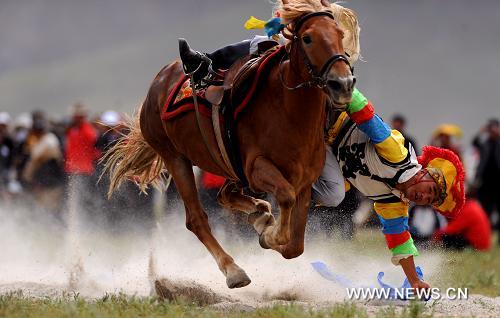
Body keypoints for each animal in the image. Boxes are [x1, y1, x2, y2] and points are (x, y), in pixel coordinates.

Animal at [106, 0, 354, 288]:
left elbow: (294, 247)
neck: (287, 111)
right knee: (197, 219)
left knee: (225, 195)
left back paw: (259, 213)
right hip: (175, 158)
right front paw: (268, 234)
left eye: (340, 34)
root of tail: (159, 80)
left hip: (226, 165)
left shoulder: (304, 182)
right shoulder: (257, 168)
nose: (343, 83)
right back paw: (234, 270)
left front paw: (265, 226)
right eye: (307, 38)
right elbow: (284, 200)